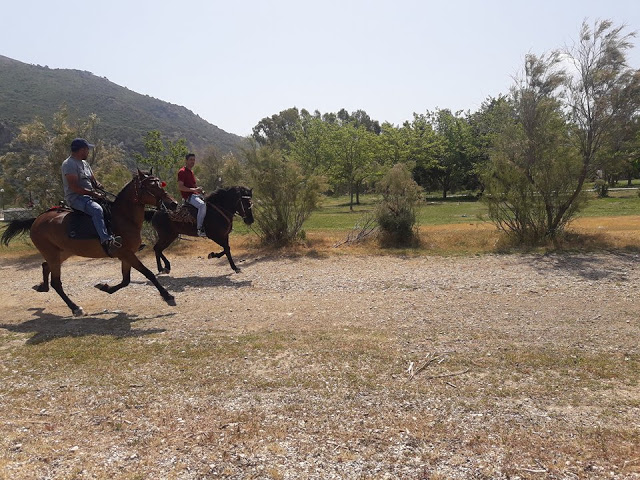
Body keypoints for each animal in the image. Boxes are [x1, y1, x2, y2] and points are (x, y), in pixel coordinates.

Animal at [2, 171, 179, 316]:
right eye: (150, 186)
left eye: (160, 183)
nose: (173, 203)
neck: (123, 218)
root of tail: (37, 219)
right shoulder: (126, 253)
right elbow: (148, 273)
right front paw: (168, 296)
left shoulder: (126, 255)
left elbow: (125, 280)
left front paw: (105, 287)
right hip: (53, 254)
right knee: (56, 282)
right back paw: (75, 308)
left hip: (62, 252)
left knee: (45, 266)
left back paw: (42, 287)